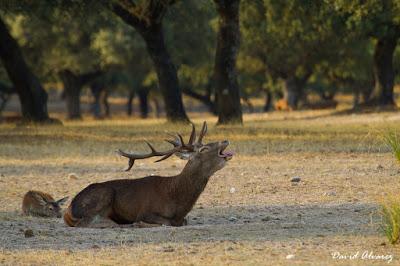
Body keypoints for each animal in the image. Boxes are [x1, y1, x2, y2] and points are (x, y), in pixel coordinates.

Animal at [63, 121, 233, 228]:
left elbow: (183, 221)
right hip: (103, 194)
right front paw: (138, 223)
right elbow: (166, 222)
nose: (225, 140)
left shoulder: (182, 218)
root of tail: (69, 209)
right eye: (204, 149)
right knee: (86, 222)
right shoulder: (145, 212)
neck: (178, 202)